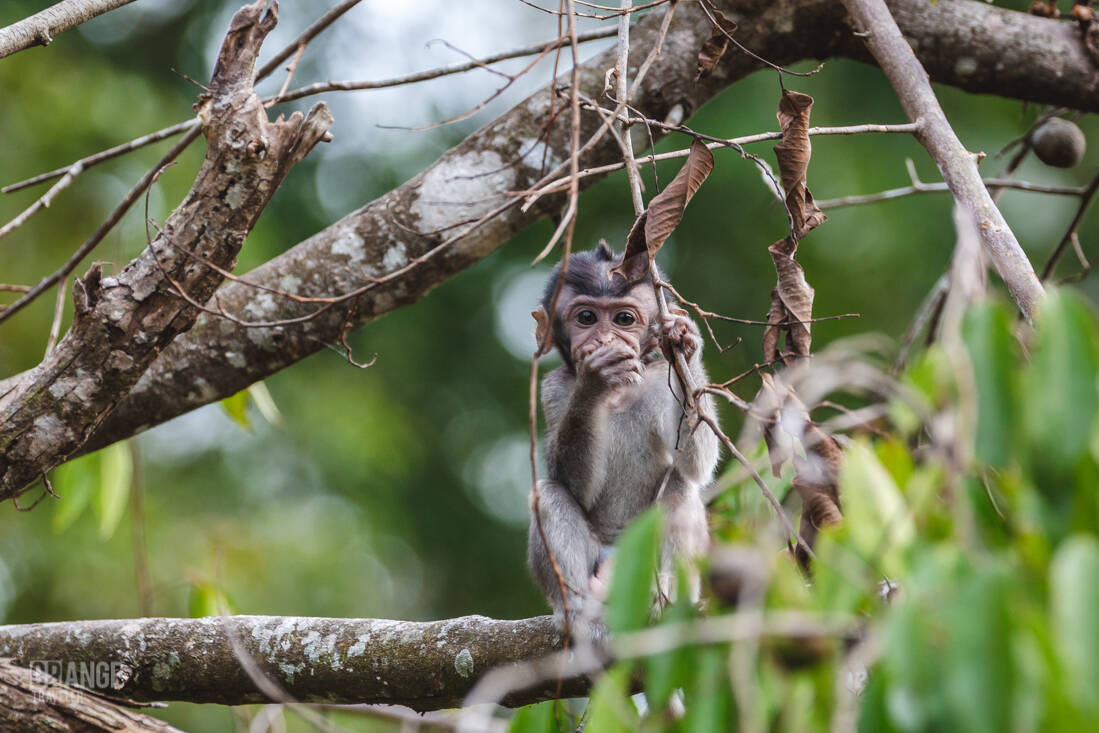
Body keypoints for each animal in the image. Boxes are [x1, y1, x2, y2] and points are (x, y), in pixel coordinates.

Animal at [528, 242, 720, 641]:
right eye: (587, 317)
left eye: (624, 319)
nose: (605, 340)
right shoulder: (553, 388)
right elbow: (573, 484)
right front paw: (594, 381)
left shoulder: (661, 377)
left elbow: (695, 462)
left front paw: (685, 341)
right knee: (548, 494)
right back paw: (579, 608)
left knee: (680, 487)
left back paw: (667, 593)